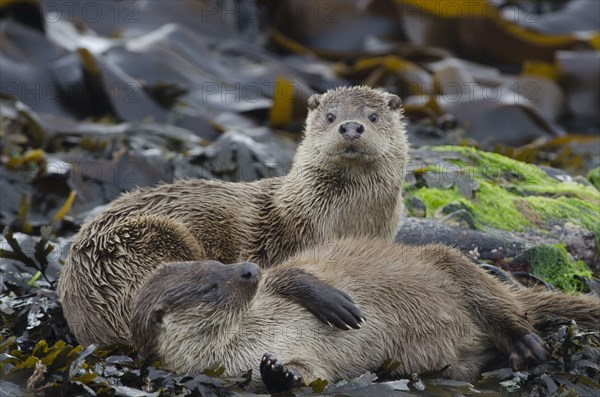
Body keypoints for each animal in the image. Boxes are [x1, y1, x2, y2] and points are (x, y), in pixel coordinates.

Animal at [131, 238, 600, 390]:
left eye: (221, 263)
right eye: (211, 285)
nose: (248, 269)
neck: (256, 333)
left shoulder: (276, 284)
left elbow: (291, 274)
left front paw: (335, 303)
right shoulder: (234, 371)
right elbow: (312, 372)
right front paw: (279, 372)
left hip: (451, 262)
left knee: (502, 307)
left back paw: (527, 343)